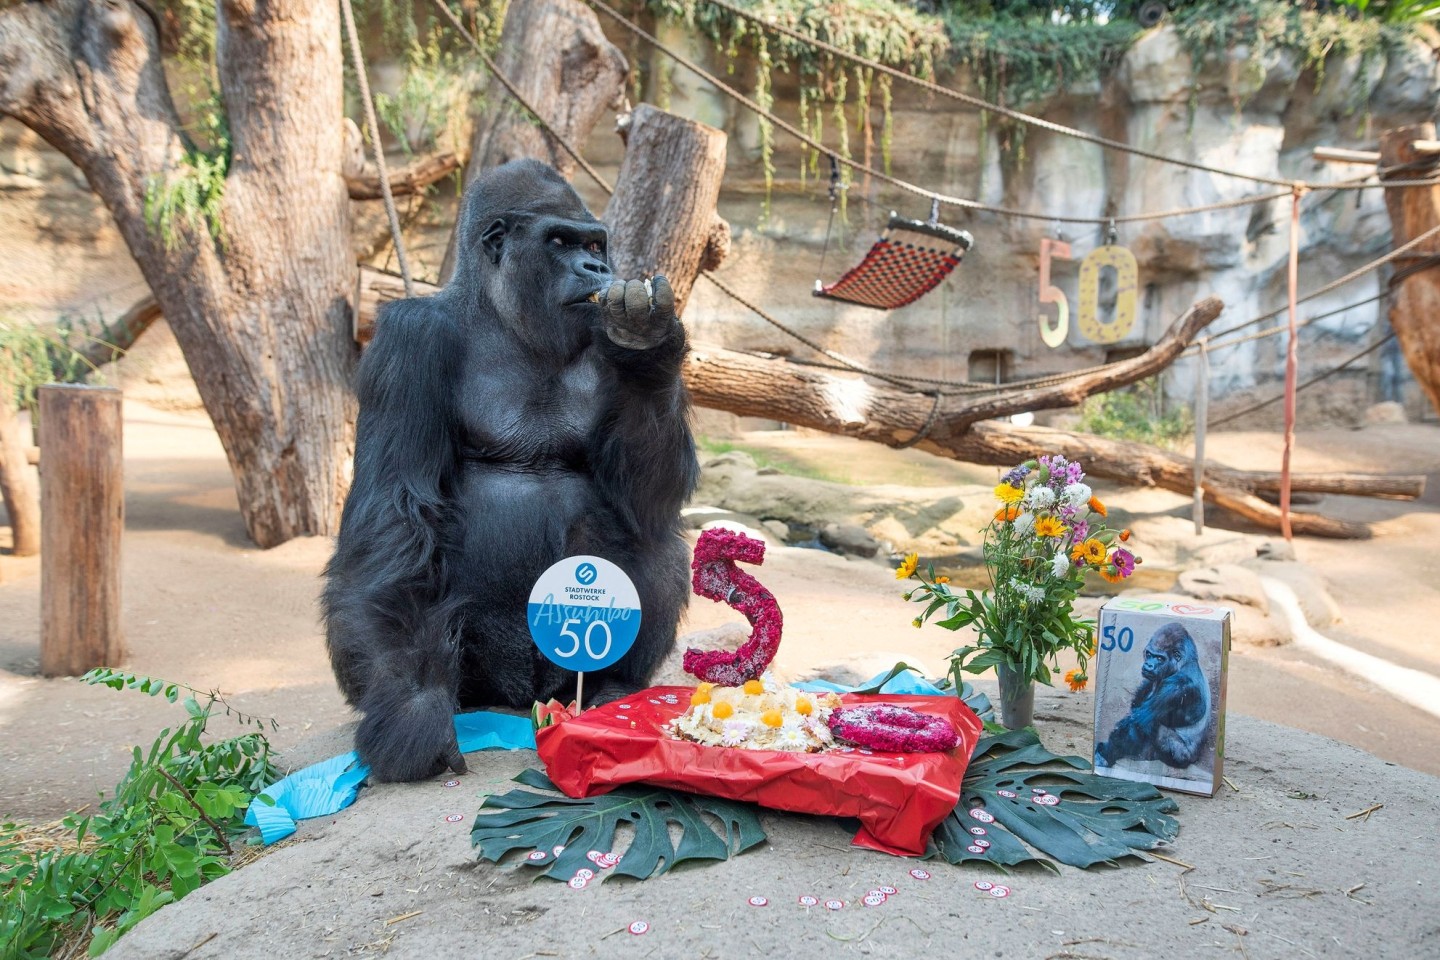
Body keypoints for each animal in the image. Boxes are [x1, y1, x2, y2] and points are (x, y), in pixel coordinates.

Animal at [328, 161, 708, 782]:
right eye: (560, 242)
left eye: (595, 246)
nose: (597, 269)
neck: (498, 314)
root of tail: (527, 695)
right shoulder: (408, 339)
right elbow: (395, 514)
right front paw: (413, 712)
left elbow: (645, 498)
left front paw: (646, 344)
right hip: (485, 678)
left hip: (561, 675)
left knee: (656, 539)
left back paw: (611, 689)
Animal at [1094, 624, 1209, 771]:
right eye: (1149, 654)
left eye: (1160, 658)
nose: (1148, 665)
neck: (1185, 663)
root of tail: (1193, 760)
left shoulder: (1177, 686)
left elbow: (1137, 723)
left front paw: (1105, 755)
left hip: (1180, 758)